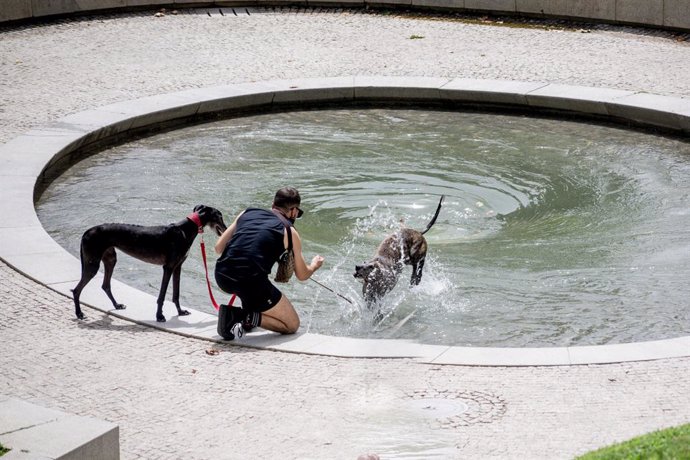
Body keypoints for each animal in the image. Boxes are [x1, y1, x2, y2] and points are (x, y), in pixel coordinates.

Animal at [74, 205, 227, 324]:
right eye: (220, 216)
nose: (226, 230)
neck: (184, 230)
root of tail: (86, 232)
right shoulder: (168, 267)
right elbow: (162, 295)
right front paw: (159, 316)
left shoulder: (178, 267)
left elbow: (176, 294)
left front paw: (180, 312)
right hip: (93, 264)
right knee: (76, 290)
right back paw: (79, 314)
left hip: (110, 259)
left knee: (105, 285)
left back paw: (117, 305)